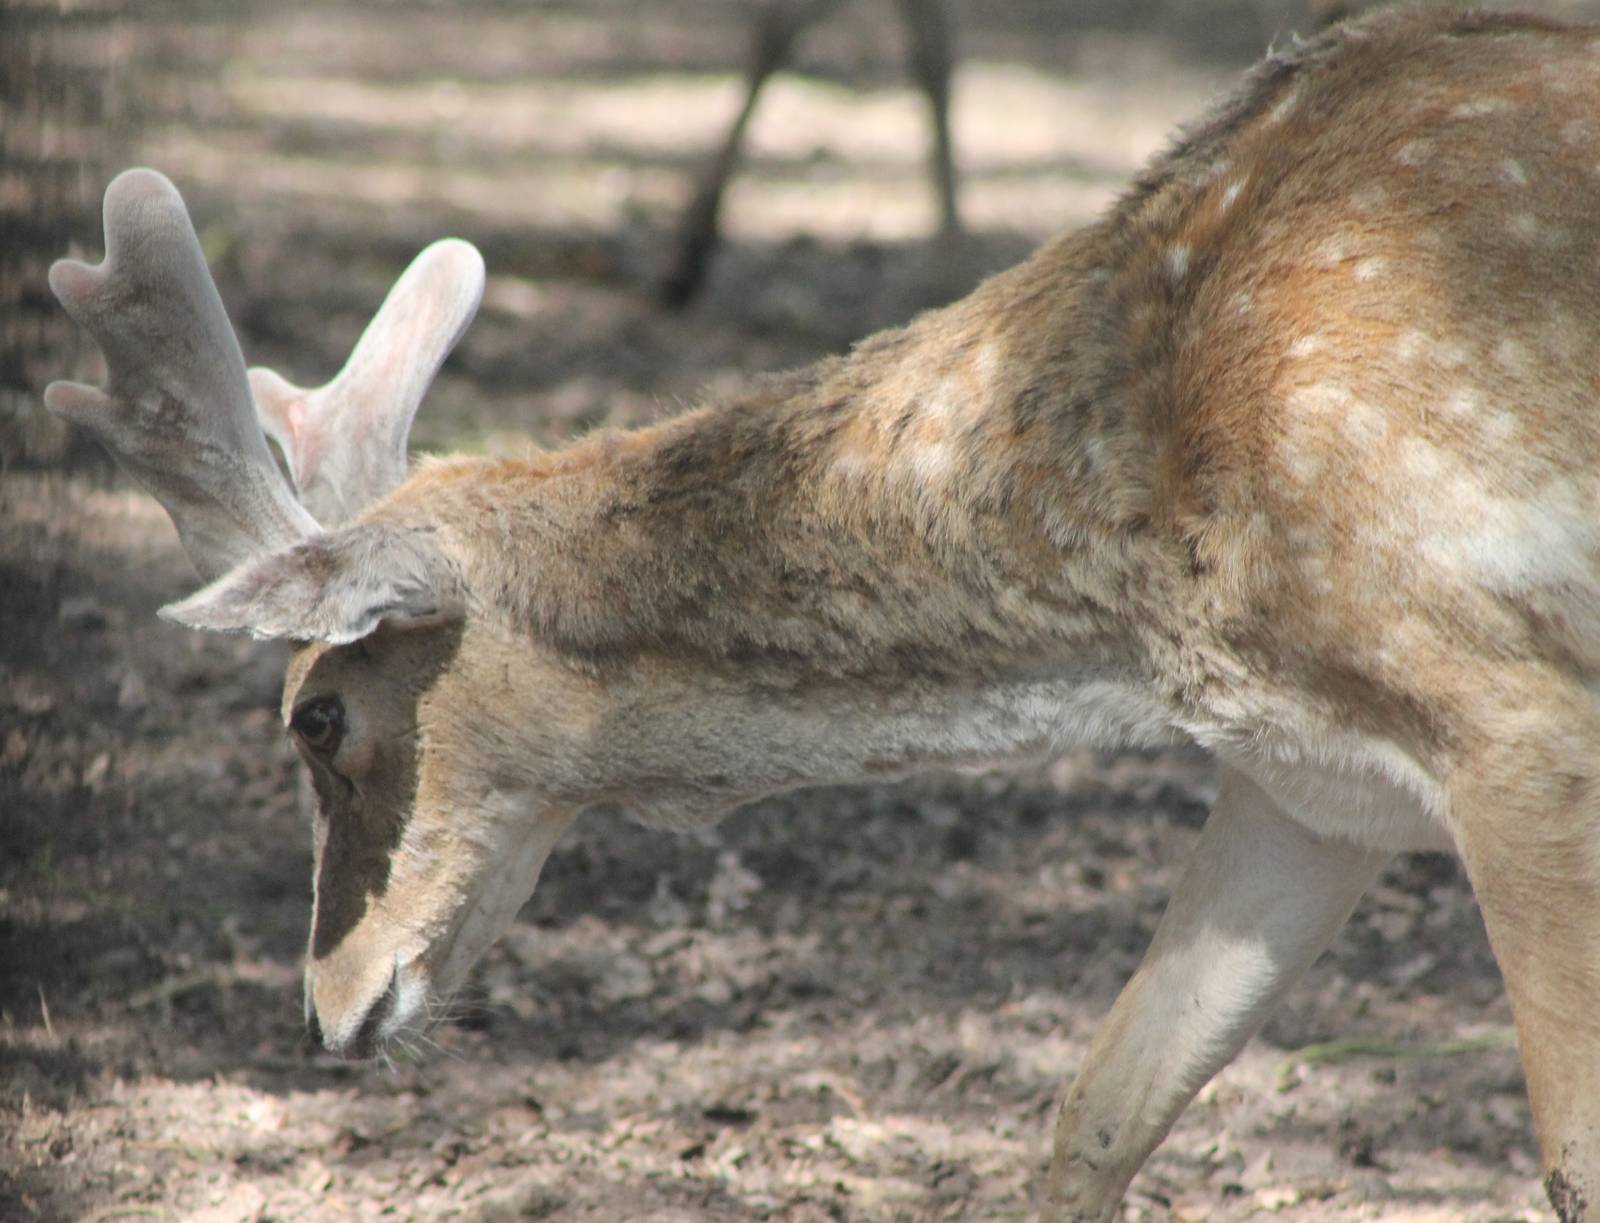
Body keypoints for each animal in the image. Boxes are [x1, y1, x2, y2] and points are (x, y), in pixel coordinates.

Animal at [43, 7, 1600, 1220]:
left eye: (316, 714)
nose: (328, 1007)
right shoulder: (1312, 786)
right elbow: (1096, 1107)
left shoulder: (1513, 714)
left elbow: (1569, 1159)